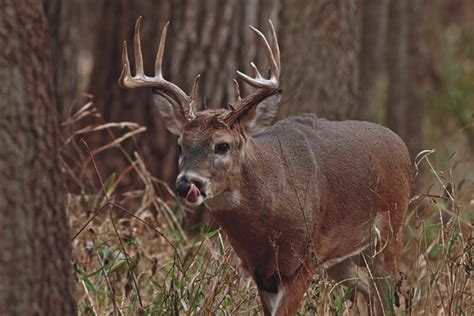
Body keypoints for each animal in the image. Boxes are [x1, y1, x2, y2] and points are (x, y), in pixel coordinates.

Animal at [120, 17, 412, 316]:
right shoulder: (262, 273)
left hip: (390, 231)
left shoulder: (302, 262)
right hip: (342, 256)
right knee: (371, 292)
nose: (186, 183)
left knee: (387, 295)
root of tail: (401, 145)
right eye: (180, 145)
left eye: (222, 145)